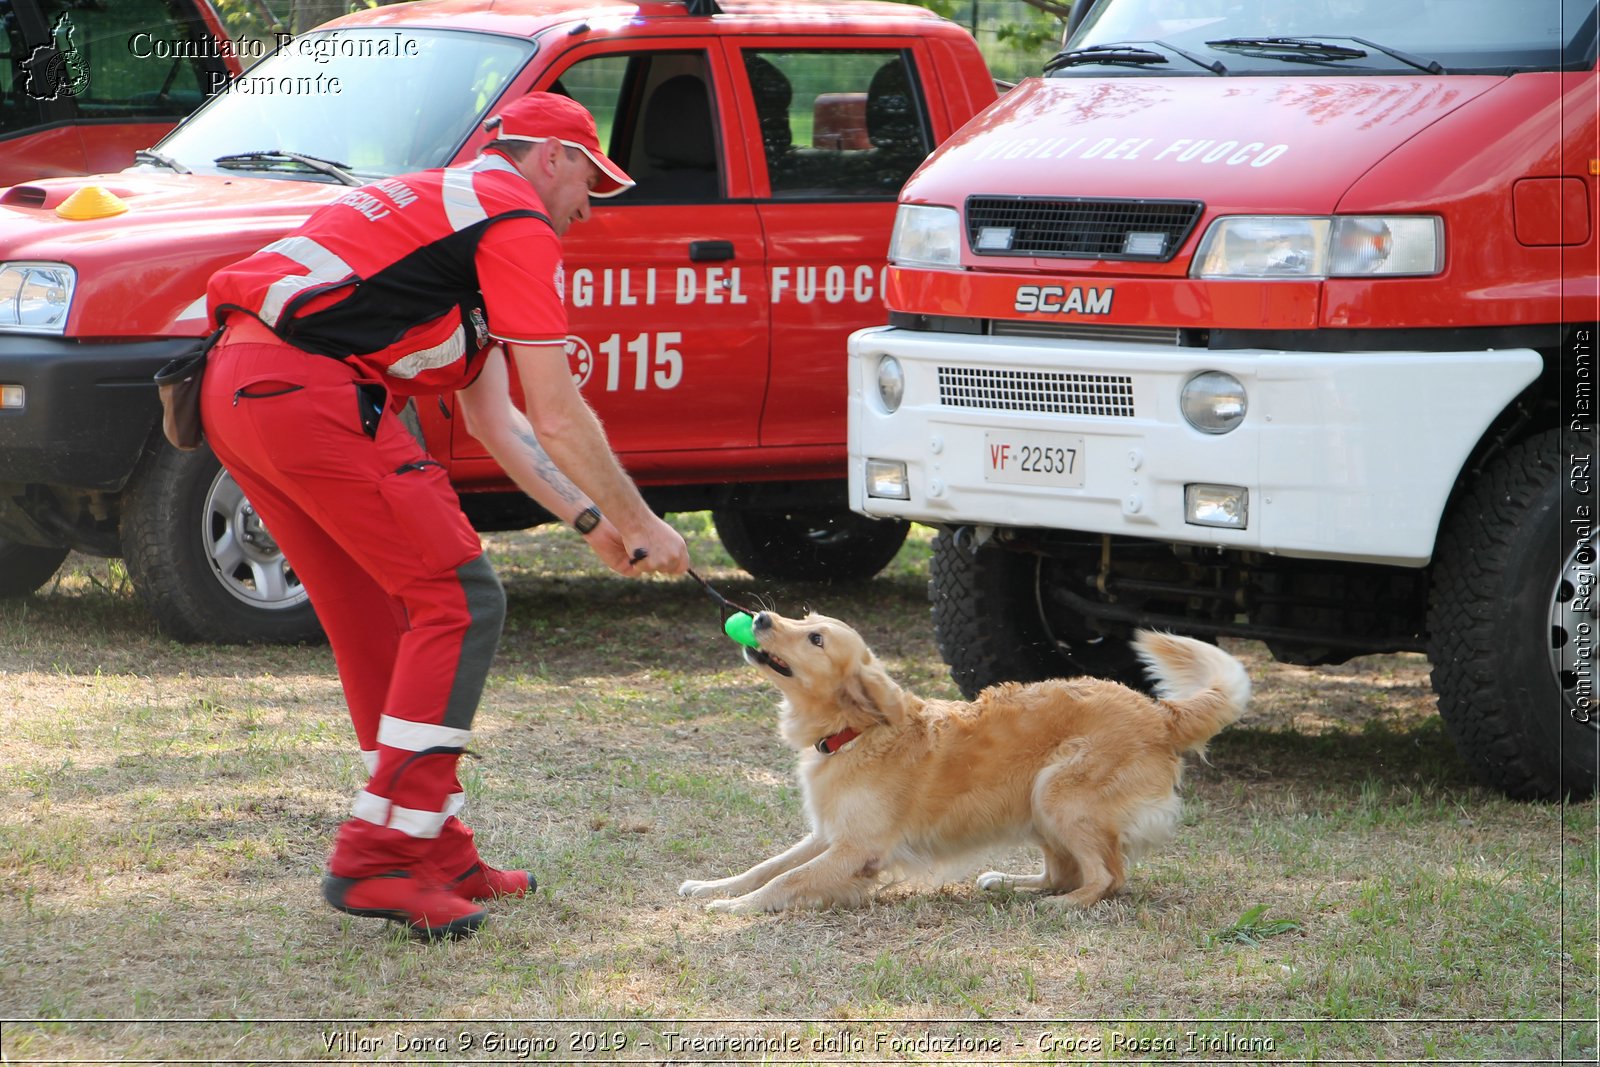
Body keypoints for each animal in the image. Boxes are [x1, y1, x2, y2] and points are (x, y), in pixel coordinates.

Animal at [675, 614, 1248, 915]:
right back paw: (1011, 884)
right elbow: (766, 866)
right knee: (1062, 871)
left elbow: (786, 881)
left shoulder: (857, 849)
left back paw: (1060, 906)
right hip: (1037, 804)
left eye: (816, 638)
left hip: (1058, 793)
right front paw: (714, 887)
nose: (761, 617)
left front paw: (732, 909)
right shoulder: (828, 835)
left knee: (1108, 876)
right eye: (802, 616)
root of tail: (1158, 712)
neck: (855, 732)